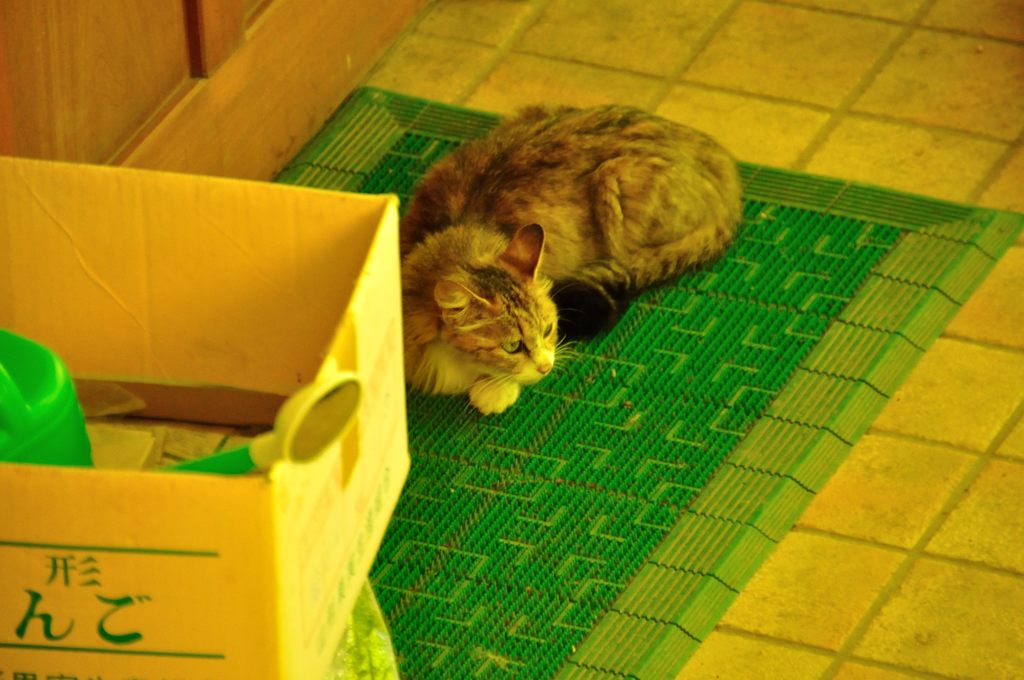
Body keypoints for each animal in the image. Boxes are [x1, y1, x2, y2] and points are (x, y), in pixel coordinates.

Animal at [395, 104, 741, 413]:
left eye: (549, 329)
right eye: (512, 346)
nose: (546, 367)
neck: (456, 230)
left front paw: (494, 392)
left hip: (614, 190)